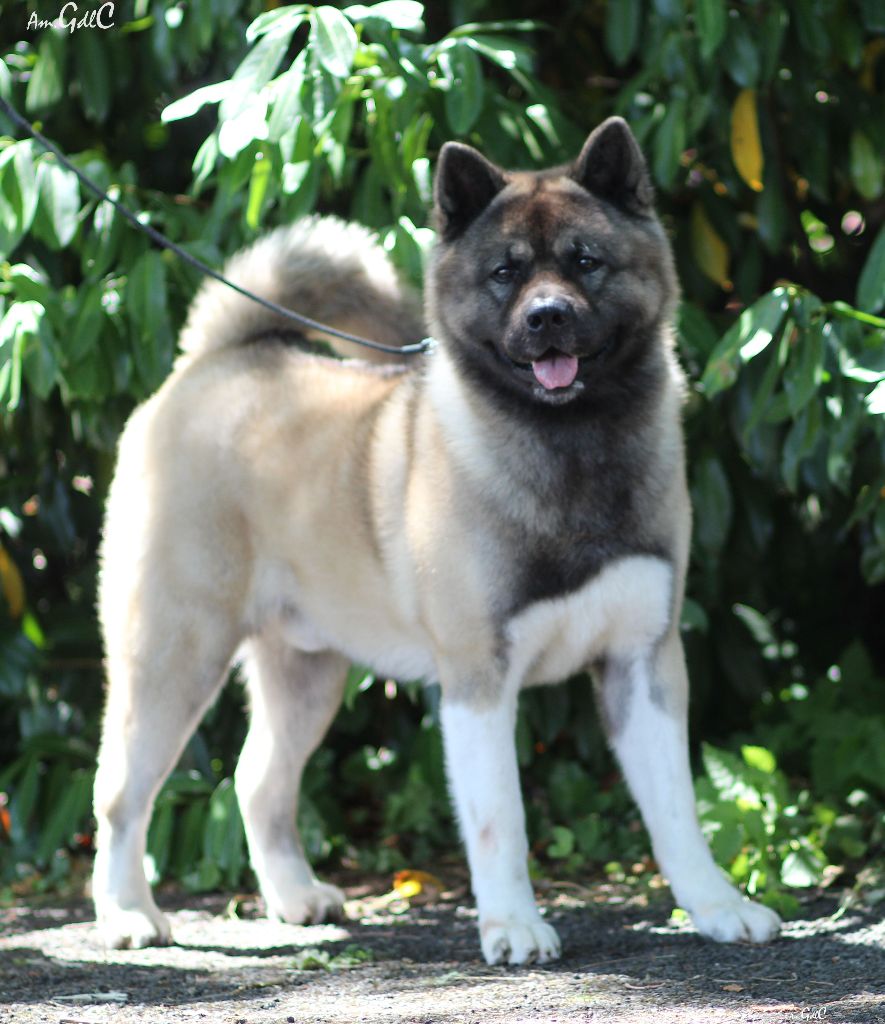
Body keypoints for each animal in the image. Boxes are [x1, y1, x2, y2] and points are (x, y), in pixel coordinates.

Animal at [92, 117, 781, 964]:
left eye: (585, 260)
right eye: (503, 273)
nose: (547, 316)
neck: (571, 448)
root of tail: (217, 362)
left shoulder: (641, 663)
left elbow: (677, 811)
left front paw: (717, 907)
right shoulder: (478, 679)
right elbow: (499, 820)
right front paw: (513, 925)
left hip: (305, 673)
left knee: (258, 781)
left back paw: (294, 896)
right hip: (173, 655)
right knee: (122, 794)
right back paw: (127, 913)